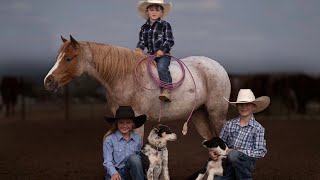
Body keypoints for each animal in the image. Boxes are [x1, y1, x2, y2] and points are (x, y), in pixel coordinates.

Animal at [44, 35, 230, 139]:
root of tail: (219, 67)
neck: (125, 77)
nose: (48, 81)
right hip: (199, 114)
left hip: (217, 113)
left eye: (68, 58)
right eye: (59, 56)